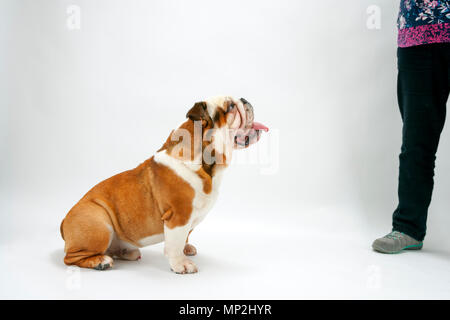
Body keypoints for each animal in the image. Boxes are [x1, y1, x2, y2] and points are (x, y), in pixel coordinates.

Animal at [61, 95, 268, 272]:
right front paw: (181, 264)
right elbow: (175, 243)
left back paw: (125, 252)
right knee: (71, 258)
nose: (244, 99)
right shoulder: (179, 215)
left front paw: (186, 249)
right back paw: (100, 261)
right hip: (99, 222)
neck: (205, 166)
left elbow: (185, 236)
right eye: (231, 107)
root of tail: (63, 222)